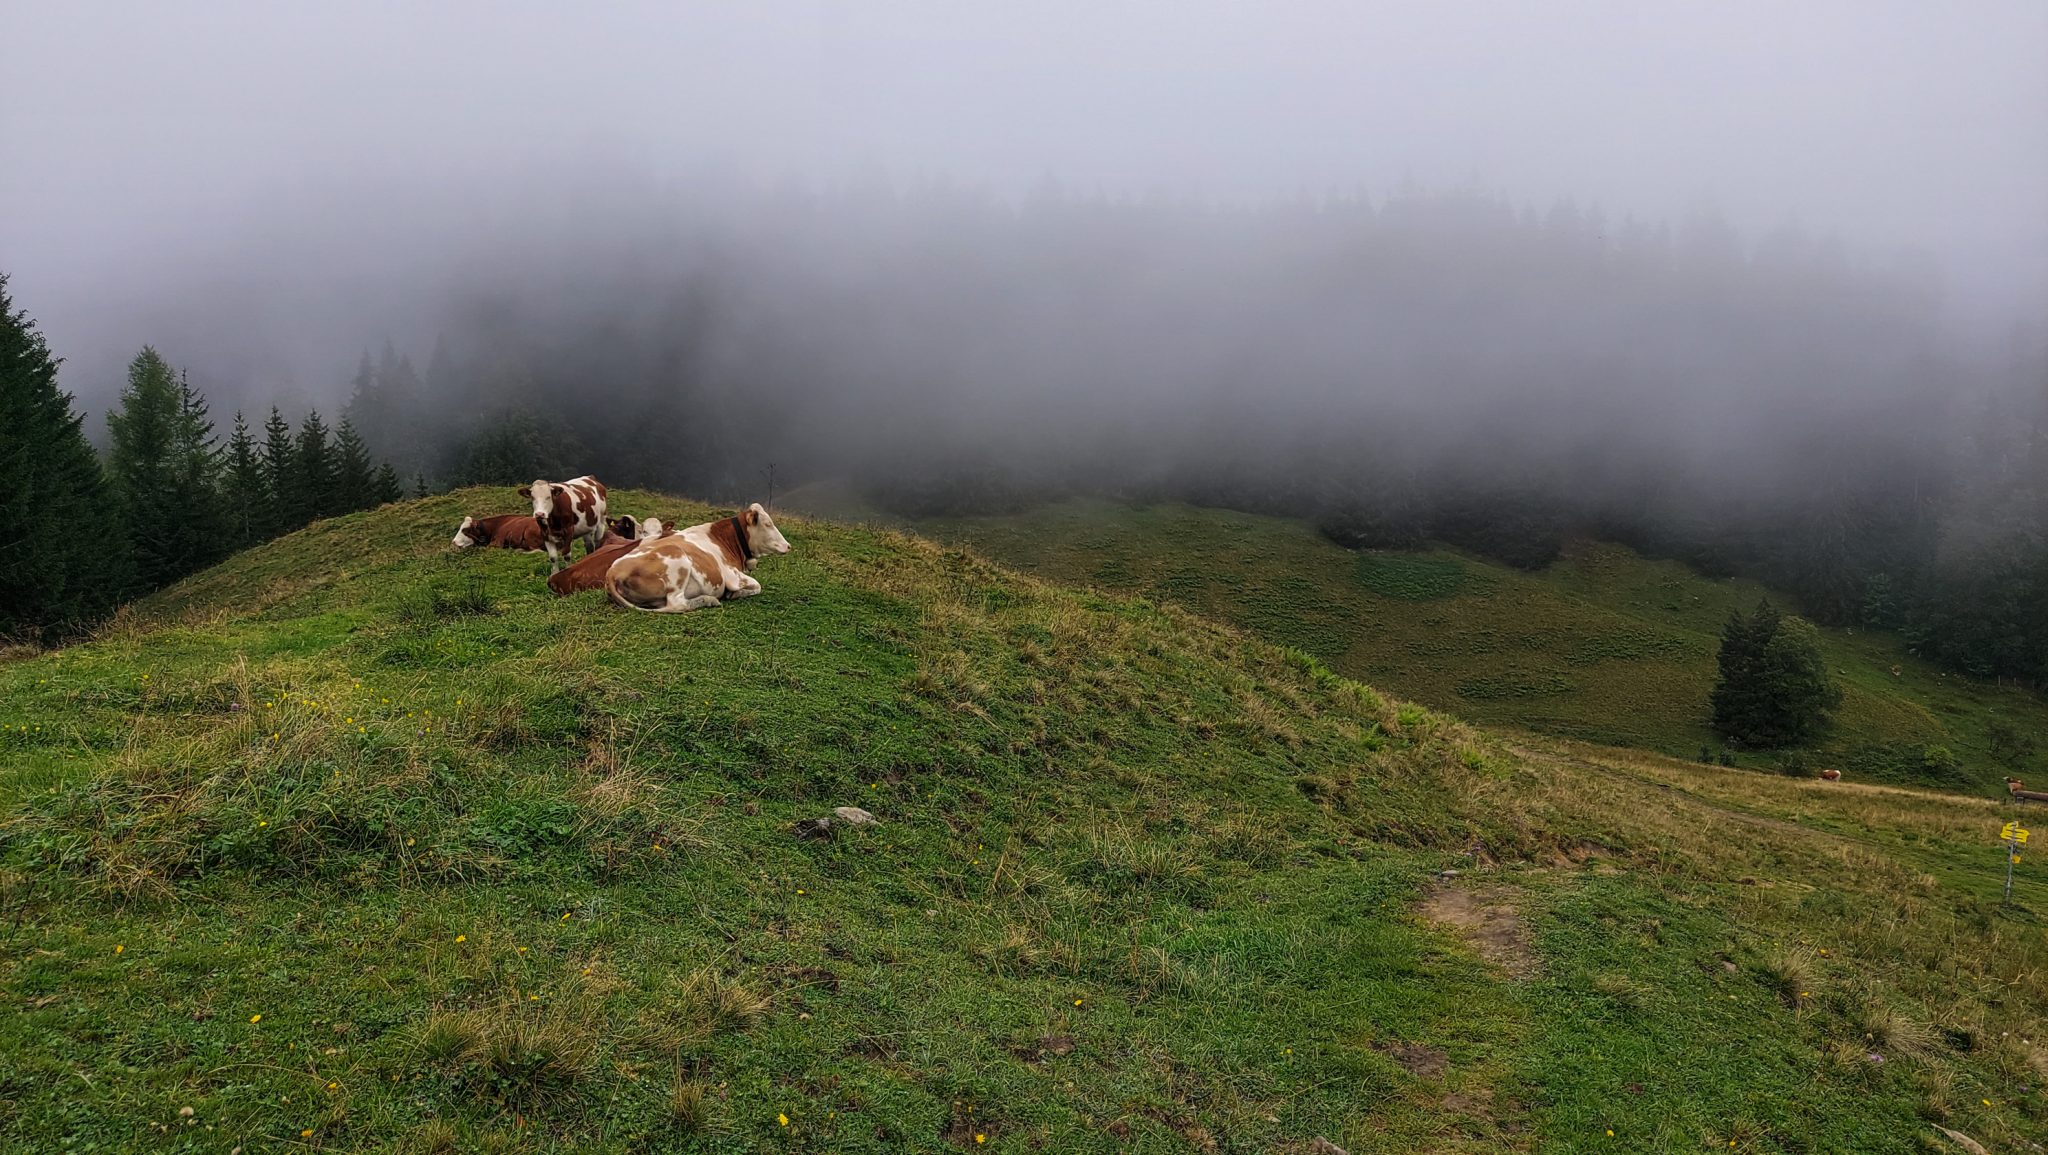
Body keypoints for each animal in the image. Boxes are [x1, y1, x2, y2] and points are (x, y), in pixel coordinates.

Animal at [605, 503, 791, 613]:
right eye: (768, 524)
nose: (788, 545)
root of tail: (612, 573)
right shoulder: (731, 575)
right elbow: (757, 586)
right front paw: (734, 594)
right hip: (676, 559)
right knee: (676, 604)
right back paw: (709, 600)